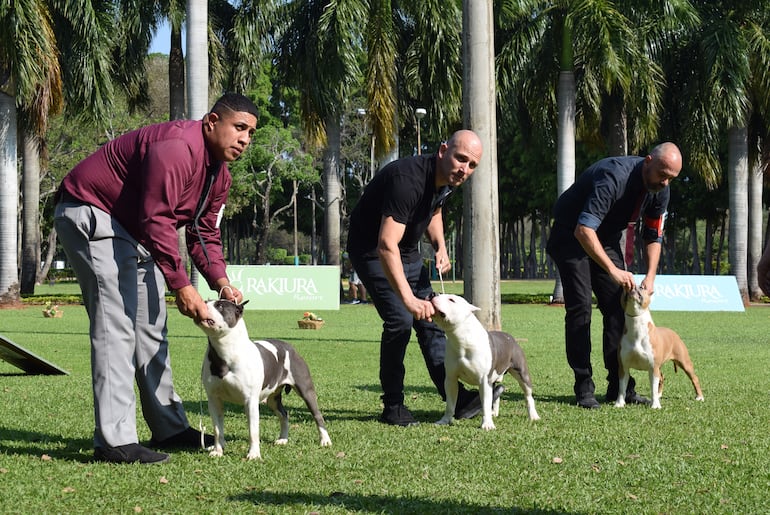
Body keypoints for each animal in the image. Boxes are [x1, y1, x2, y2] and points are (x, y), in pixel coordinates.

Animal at [196, 300, 328, 462]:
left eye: (220, 306)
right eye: (206, 301)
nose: (202, 304)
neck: (226, 351)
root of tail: (289, 346)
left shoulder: (250, 401)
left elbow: (253, 431)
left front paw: (254, 454)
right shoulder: (214, 400)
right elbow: (217, 429)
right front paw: (217, 451)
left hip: (306, 390)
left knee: (317, 415)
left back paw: (325, 440)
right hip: (272, 399)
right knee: (284, 414)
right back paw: (283, 439)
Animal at [428, 292, 536, 430]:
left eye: (452, 299)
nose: (432, 294)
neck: (462, 340)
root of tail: (509, 337)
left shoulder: (484, 380)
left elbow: (485, 403)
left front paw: (487, 424)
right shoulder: (450, 380)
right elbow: (450, 404)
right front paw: (445, 420)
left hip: (522, 374)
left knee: (528, 396)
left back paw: (533, 416)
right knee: (496, 394)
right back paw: (494, 412)